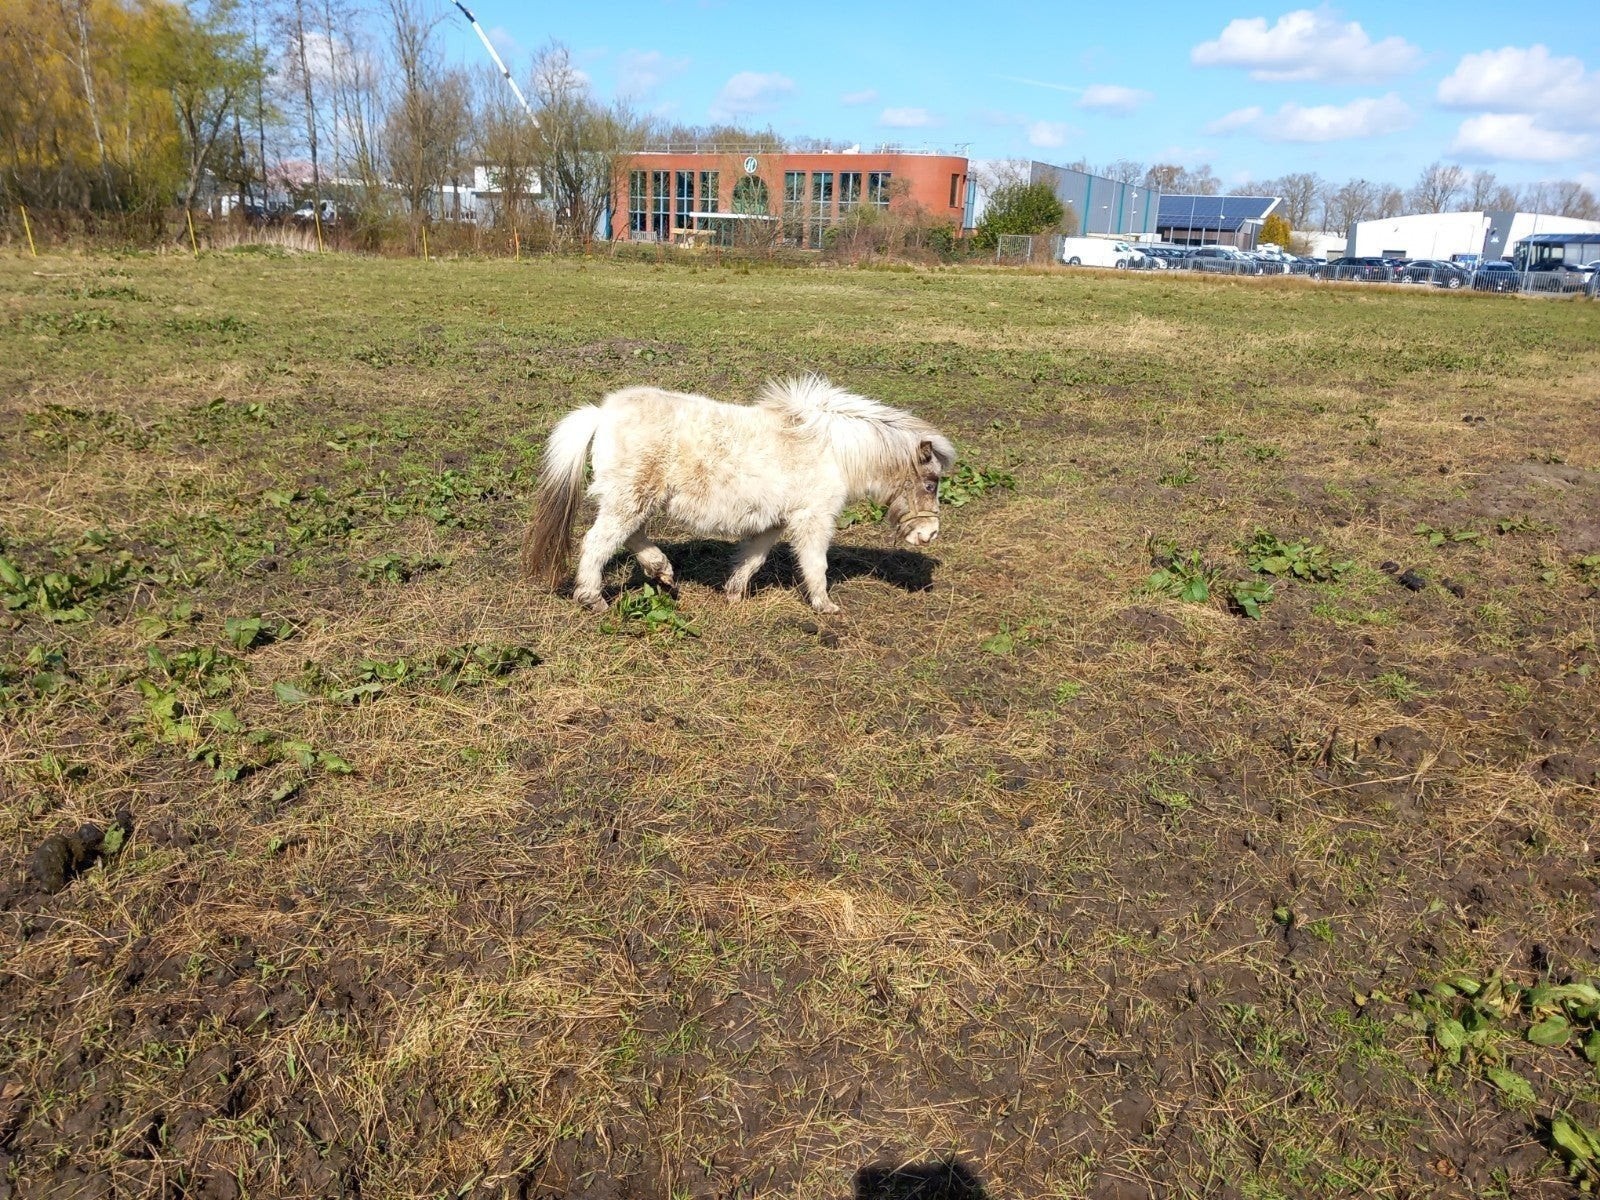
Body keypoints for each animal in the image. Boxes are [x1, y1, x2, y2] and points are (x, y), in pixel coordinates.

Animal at [521, 375, 956, 614]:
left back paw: (664, 573)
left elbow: (753, 558)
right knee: (598, 543)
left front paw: (733, 594)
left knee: (629, 537)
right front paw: (825, 606)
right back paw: (593, 599)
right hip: (629, 499)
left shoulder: (776, 522)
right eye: (930, 483)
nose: (929, 534)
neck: (832, 451)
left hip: (634, 500)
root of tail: (602, 413)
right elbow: (817, 564)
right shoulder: (814, 519)